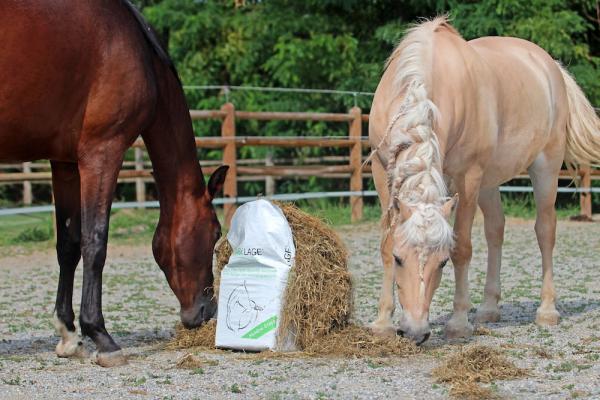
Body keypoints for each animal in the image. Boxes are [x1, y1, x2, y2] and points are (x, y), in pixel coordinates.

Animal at [0, 1, 229, 368]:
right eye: (215, 231)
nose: (206, 311)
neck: (141, 50)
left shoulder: (66, 164)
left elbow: (68, 244)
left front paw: (68, 335)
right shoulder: (103, 153)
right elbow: (95, 243)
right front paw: (101, 337)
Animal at [368, 17, 596, 344]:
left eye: (442, 262)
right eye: (400, 259)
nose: (415, 332)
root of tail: (550, 65)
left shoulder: (468, 177)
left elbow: (462, 247)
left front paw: (458, 324)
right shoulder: (380, 170)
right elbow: (386, 243)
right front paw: (383, 323)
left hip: (545, 168)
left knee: (545, 231)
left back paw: (546, 311)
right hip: (489, 183)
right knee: (495, 230)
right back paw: (489, 308)